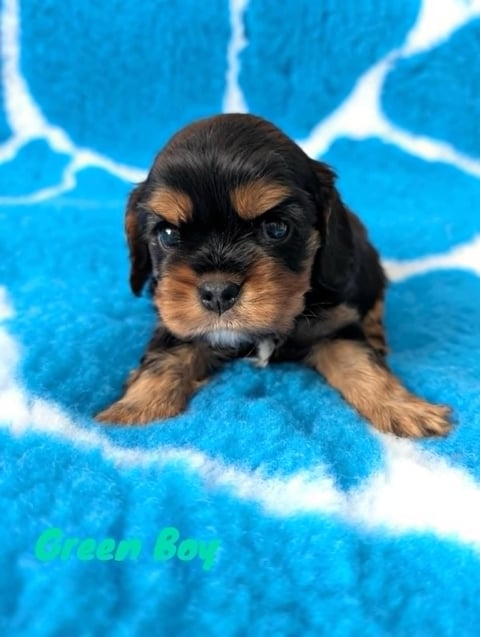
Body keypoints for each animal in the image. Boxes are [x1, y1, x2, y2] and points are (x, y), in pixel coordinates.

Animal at [95, 112, 452, 434]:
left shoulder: (334, 326)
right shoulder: (175, 323)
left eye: (277, 228)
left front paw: (405, 409)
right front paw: (133, 409)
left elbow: (363, 365)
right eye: (168, 234)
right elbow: (163, 360)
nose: (217, 293)